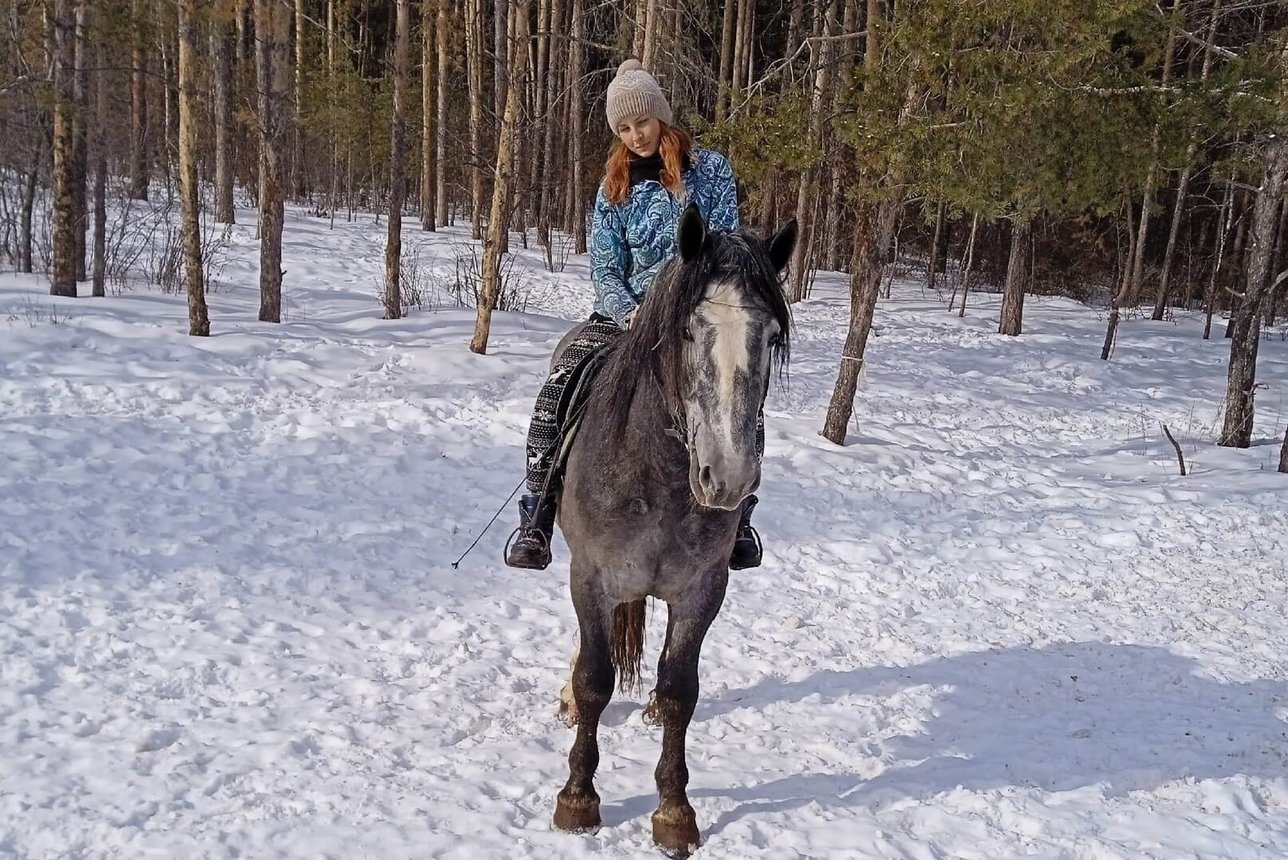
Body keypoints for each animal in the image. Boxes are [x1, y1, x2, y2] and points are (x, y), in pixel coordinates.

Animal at [546, 202, 788, 854]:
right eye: (687, 331)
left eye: (771, 337)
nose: (728, 476)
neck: (657, 474)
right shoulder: (592, 577)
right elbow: (594, 679)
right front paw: (577, 800)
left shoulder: (702, 590)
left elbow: (681, 691)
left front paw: (675, 812)